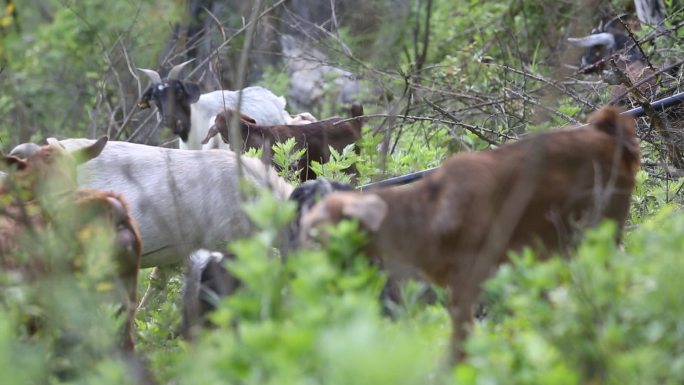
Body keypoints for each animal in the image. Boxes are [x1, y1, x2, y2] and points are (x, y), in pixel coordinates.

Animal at [300, 106, 640, 358]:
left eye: (323, 228)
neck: (427, 217)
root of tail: (608, 128)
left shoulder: (469, 277)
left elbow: (460, 343)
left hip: (601, 229)